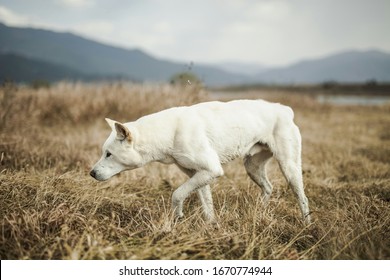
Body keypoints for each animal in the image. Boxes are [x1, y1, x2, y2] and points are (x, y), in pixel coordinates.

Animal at [90, 99, 310, 224]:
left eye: (108, 154)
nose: (91, 173)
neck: (169, 132)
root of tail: (284, 110)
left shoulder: (211, 170)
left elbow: (177, 194)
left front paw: (178, 216)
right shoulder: (200, 174)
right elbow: (207, 204)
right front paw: (212, 226)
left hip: (289, 167)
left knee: (302, 197)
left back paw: (306, 224)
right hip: (252, 167)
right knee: (268, 187)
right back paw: (260, 211)